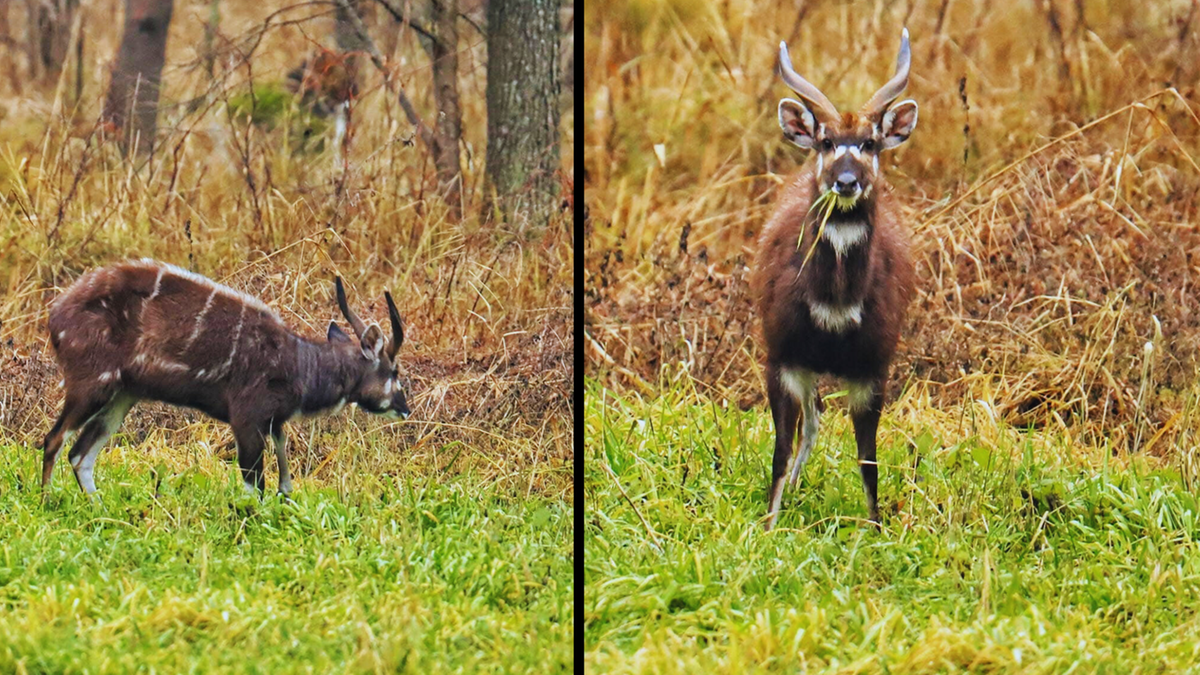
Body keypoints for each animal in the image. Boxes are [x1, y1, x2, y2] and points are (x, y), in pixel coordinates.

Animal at [42, 260, 410, 497]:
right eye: (393, 371)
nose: (405, 408)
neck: (298, 363)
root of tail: (56, 312)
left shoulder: (275, 423)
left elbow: (285, 484)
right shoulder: (247, 418)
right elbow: (254, 486)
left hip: (122, 396)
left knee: (80, 456)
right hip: (92, 384)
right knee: (54, 440)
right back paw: (48, 504)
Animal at [758, 28, 916, 528]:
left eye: (870, 143)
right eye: (825, 142)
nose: (846, 182)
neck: (833, 309)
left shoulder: (874, 368)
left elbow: (869, 460)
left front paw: (877, 528)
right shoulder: (782, 357)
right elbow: (779, 450)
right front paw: (767, 527)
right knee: (810, 423)